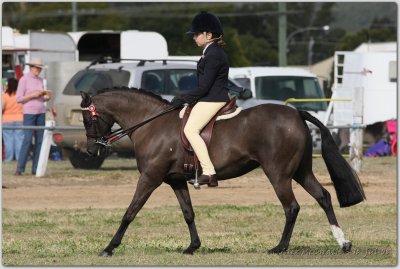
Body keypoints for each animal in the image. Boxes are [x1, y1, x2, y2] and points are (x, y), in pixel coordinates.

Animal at [79, 87, 364, 255]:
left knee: (292, 207)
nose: (91, 150)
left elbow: (130, 212)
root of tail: (296, 114)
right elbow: (188, 213)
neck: (152, 124)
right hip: (300, 172)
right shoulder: (176, 181)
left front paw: (109, 247)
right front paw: (192, 247)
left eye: (87, 119)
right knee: (323, 197)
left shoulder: (150, 178)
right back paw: (344, 243)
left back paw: (280, 247)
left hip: (279, 174)